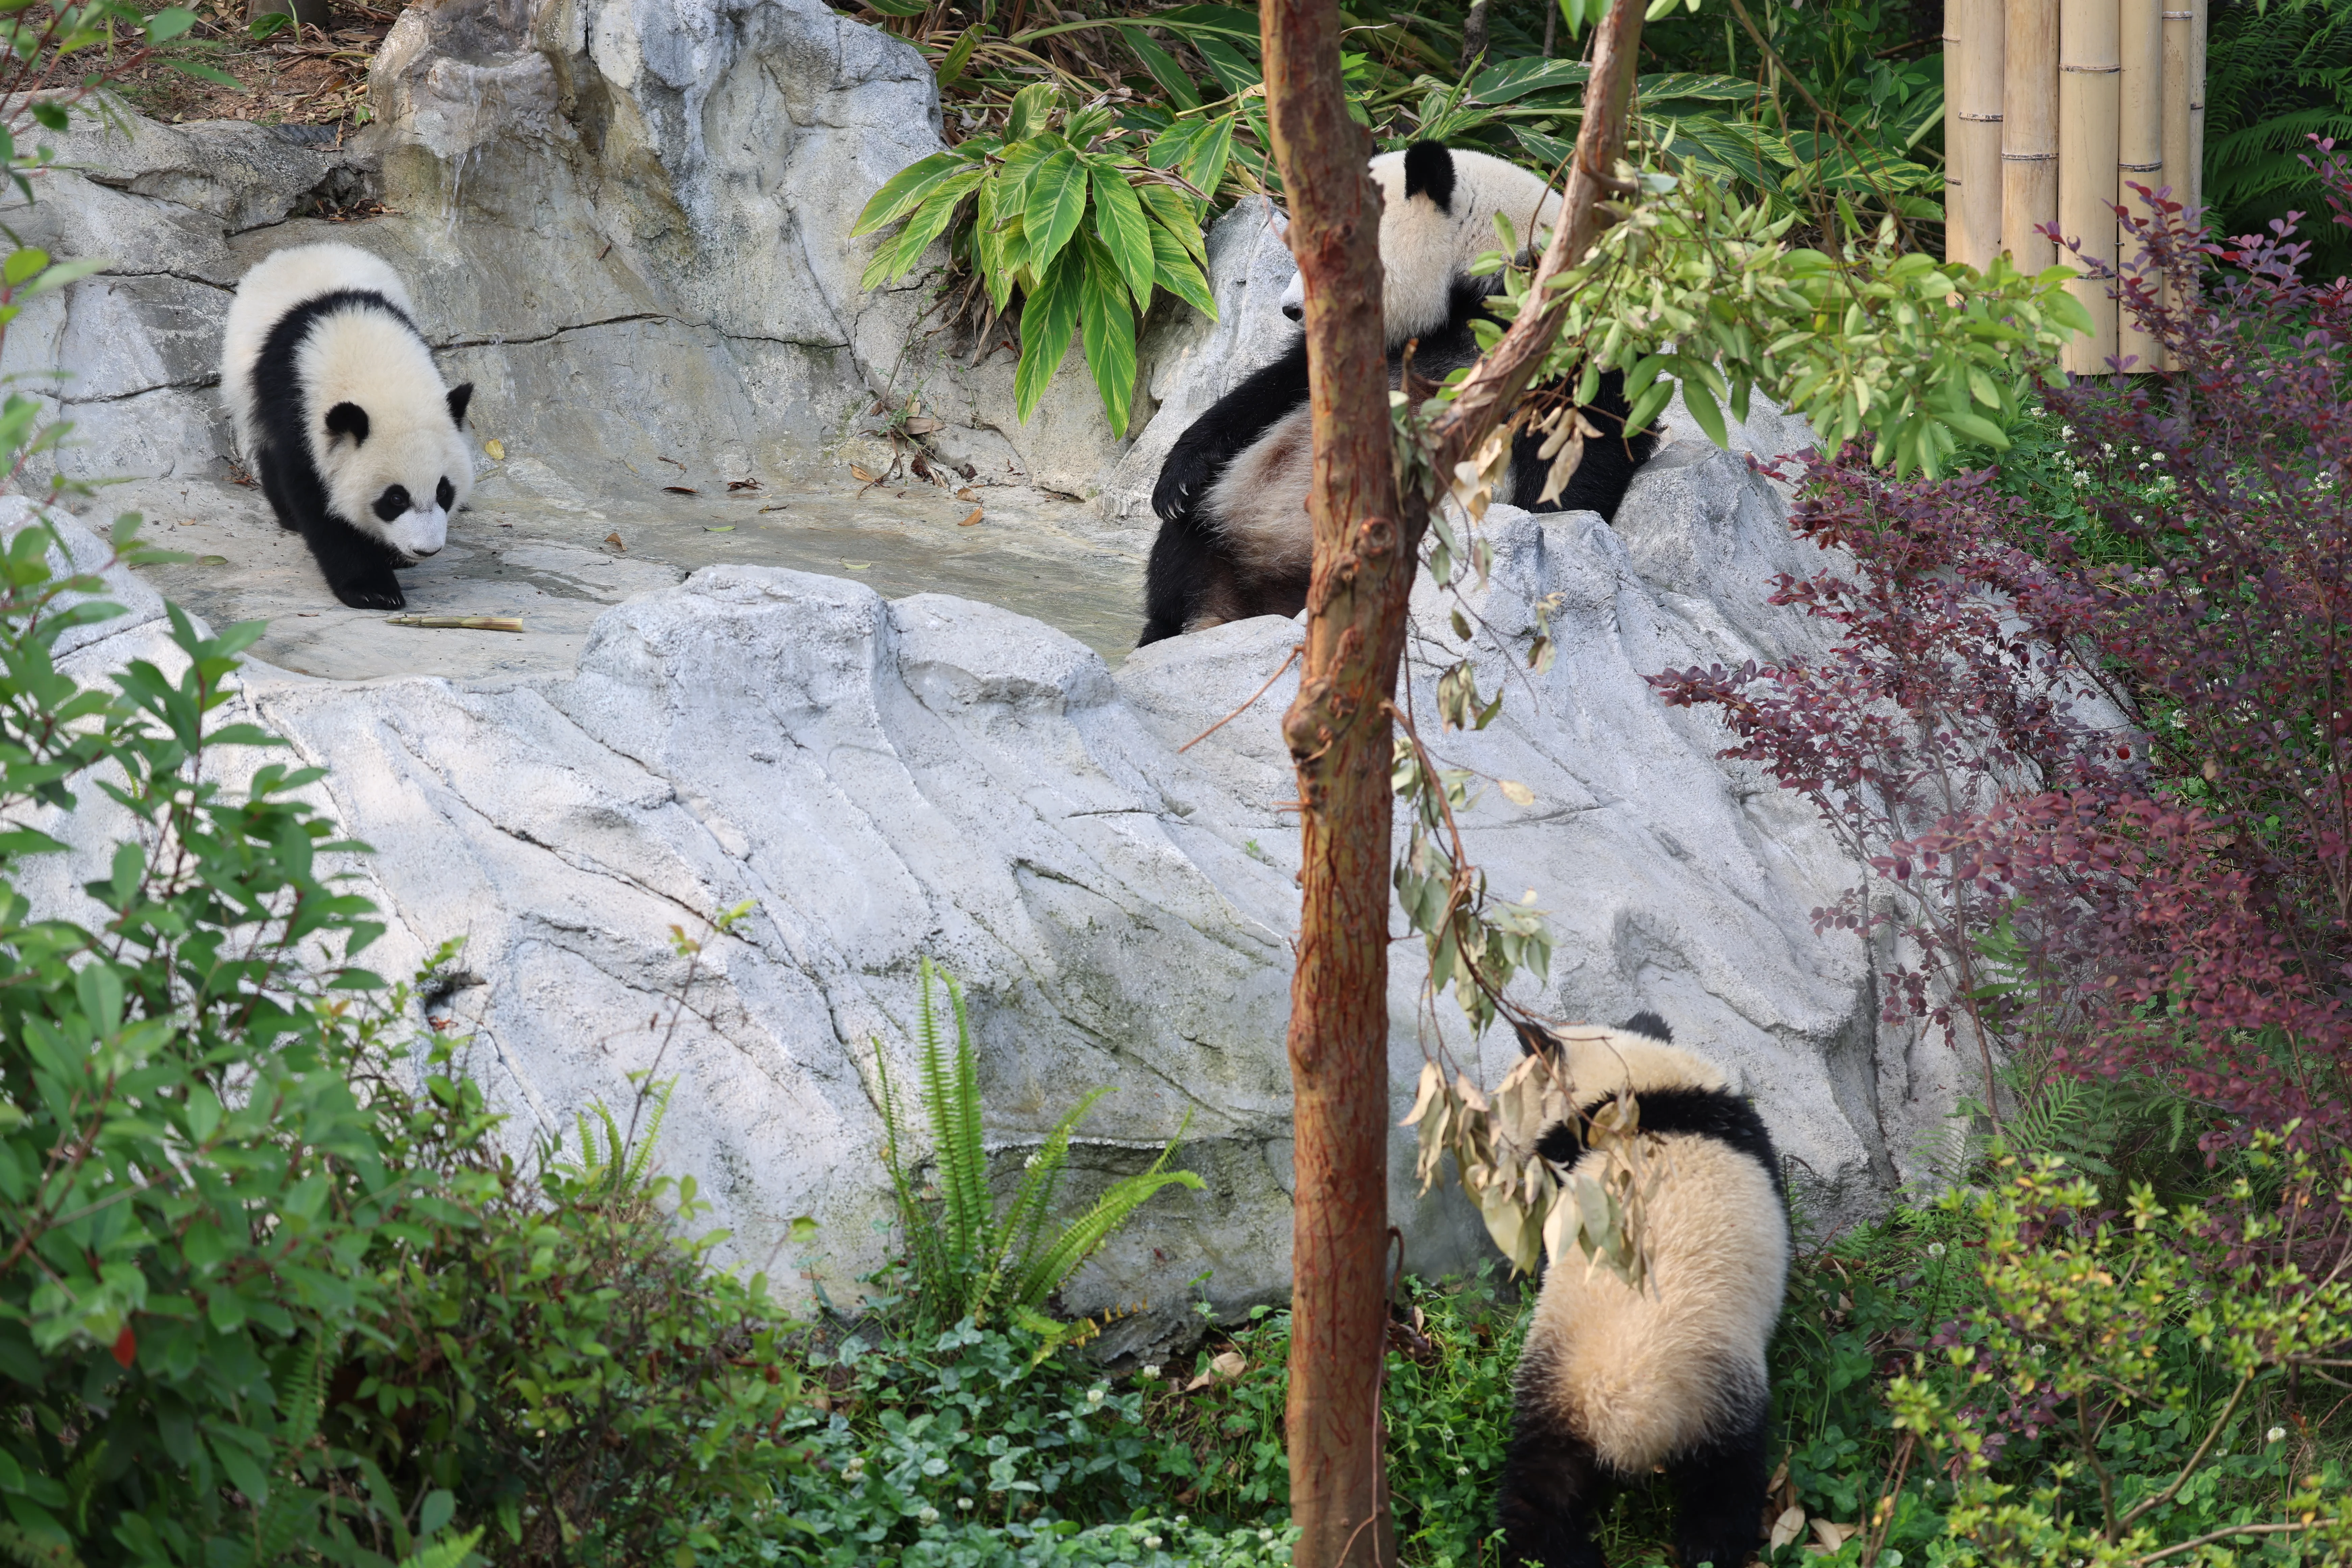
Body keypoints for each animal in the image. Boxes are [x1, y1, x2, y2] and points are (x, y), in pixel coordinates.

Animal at [221, 242, 474, 610]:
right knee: (266, 446)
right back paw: (288, 518)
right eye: (395, 499)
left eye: (444, 491)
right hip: (244, 377)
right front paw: (373, 589)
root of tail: (303, 249)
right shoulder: (298, 407)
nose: (425, 550)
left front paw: (390, 556)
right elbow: (318, 502)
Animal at [1138, 142, 1657, 646]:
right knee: (1182, 550)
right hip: (1229, 512)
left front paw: (1554, 519)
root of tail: (1248, 604)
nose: (1290, 310)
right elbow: (1274, 388)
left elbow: (1589, 441)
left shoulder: (1573, 327)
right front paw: (1179, 475)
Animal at [1497, 1011, 1789, 1568]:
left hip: (1714, 1391)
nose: (1499, 1146)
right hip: (1562, 1379)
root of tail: (1628, 1410)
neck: (1636, 1083)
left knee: (1725, 1487)